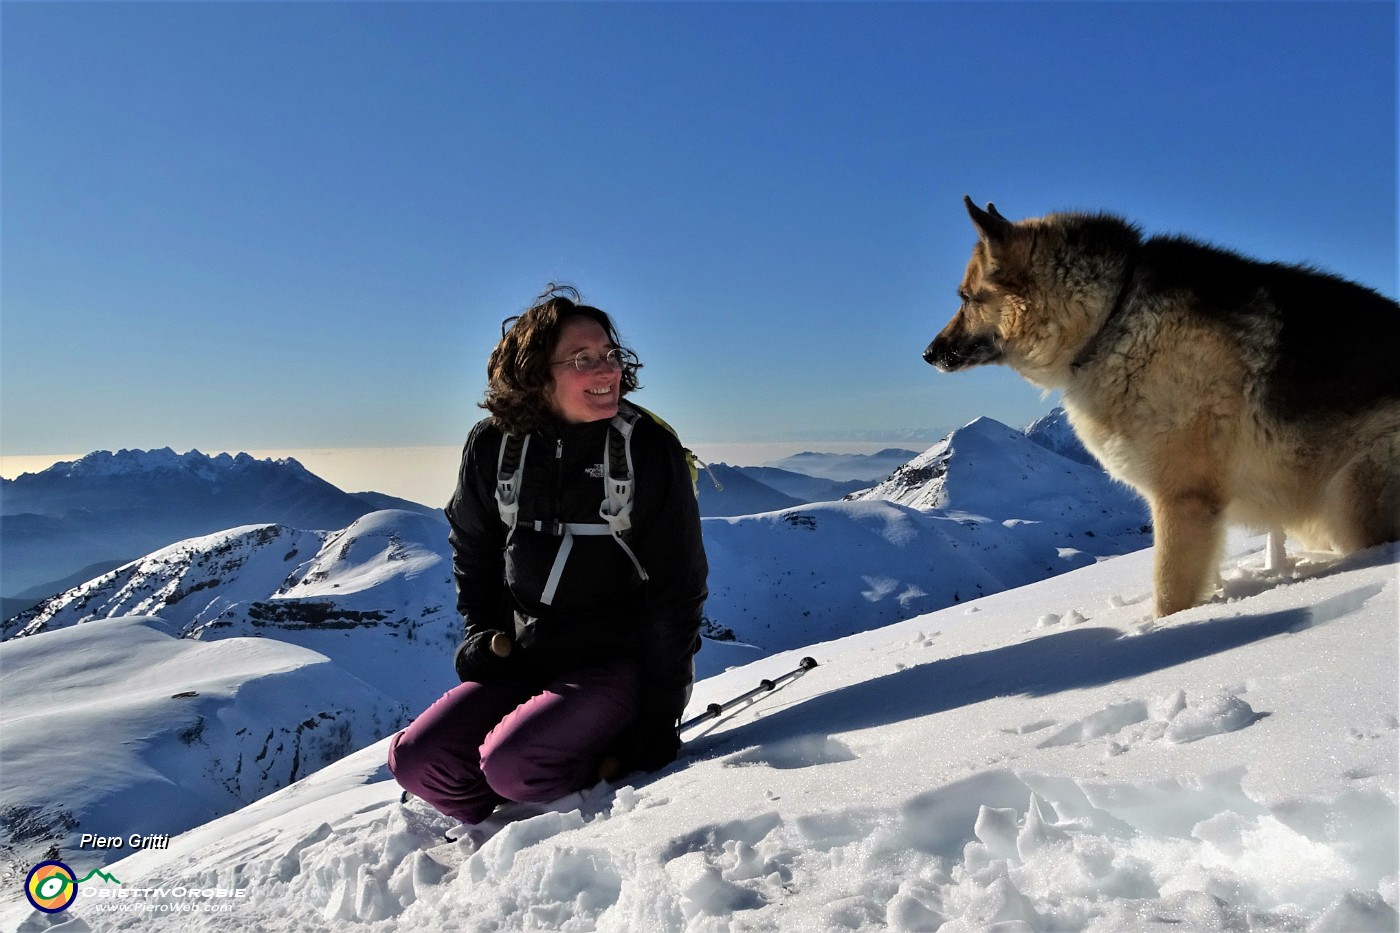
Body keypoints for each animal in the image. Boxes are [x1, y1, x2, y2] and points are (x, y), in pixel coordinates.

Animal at [924, 196, 1394, 613]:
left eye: (966, 298)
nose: (928, 354)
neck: (1111, 317)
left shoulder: (1182, 500)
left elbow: (1169, 596)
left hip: (1350, 495)